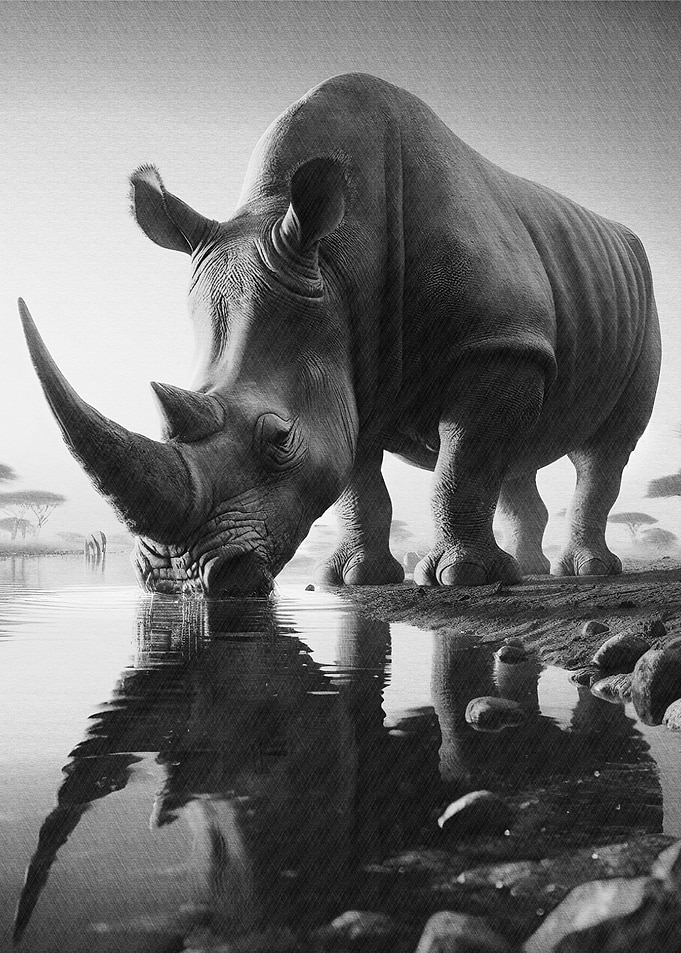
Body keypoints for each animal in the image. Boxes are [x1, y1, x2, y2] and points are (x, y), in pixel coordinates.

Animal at [20, 73, 660, 595]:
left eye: (280, 440)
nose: (177, 579)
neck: (336, 261)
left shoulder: (495, 341)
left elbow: (464, 464)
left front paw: (463, 578)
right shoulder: (349, 361)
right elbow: (360, 481)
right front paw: (354, 579)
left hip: (628, 301)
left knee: (601, 451)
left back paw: (583, 571)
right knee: (520, 450)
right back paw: (528, 570)